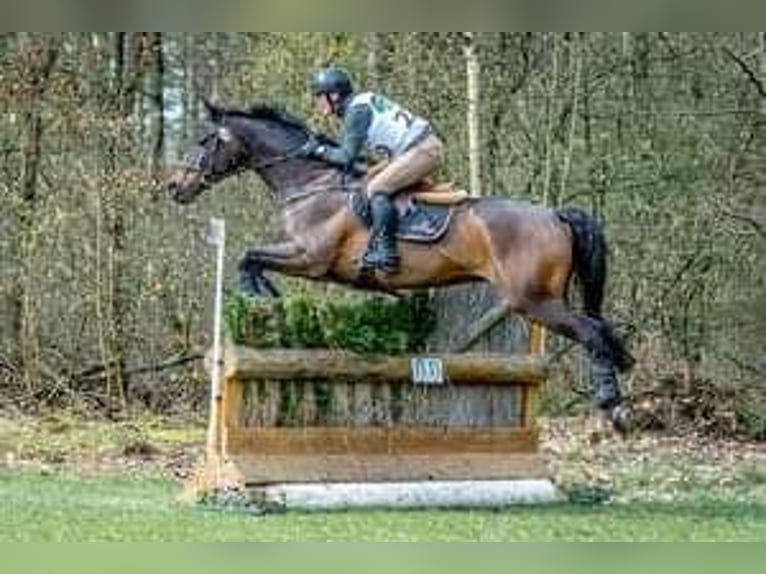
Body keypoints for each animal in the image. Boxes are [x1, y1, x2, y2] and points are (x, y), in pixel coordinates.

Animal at [168, 100, 636, 432]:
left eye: (204, 140)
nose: (175, 187)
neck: (312, 182)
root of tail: (555, 213)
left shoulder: (311, 258)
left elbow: (249, 256)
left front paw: (257, 295)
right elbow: (251, 260)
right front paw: (265, 296)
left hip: (534, 300)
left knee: (592, 332)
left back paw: (612, 405)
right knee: (606, 329)